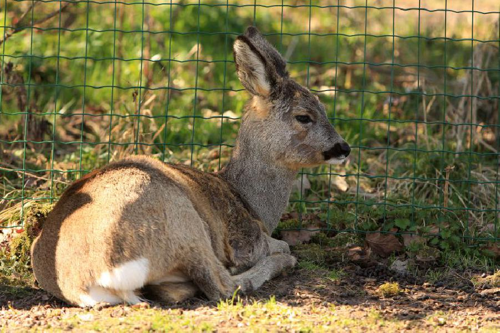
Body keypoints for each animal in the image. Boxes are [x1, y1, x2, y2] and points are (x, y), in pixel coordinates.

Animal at [32, 27, 352, 308]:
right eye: (304, 116)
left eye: (324, 108)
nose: (344, 148)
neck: (249, 201)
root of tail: (94, 279)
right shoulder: (244, 241)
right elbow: (278, 246)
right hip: (183, 223)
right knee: (224, 286)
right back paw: (278, 264)